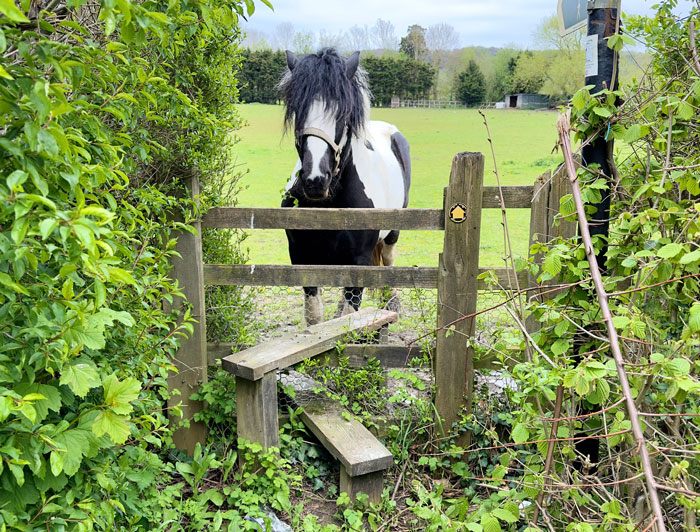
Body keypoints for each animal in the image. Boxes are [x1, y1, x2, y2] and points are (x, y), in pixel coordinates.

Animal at [278, 48, 411, 326]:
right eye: (298, 110)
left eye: (342, 114)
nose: (315, 180)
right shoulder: (302, 256)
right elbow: (315, 319)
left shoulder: (358, 259)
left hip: (394, 231)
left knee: (389, 258)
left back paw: (392, 300)